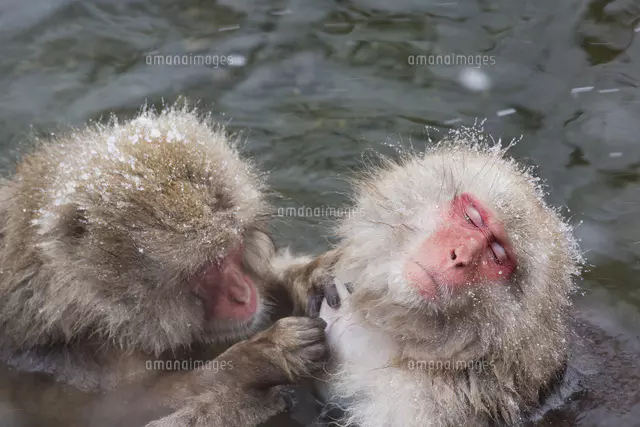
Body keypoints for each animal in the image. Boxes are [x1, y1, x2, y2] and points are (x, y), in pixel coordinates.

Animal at [0, 105, 339, 427]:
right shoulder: (85, 361)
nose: (243, 295)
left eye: (231, 250)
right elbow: (120, 410)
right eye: (207, 266)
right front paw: (258, 358)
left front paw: (308, 276)